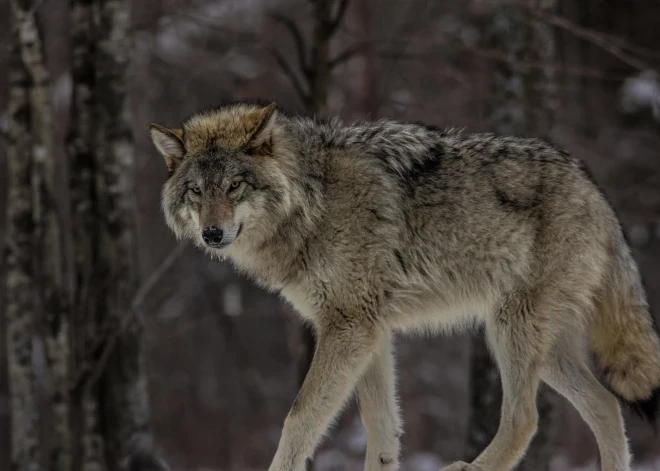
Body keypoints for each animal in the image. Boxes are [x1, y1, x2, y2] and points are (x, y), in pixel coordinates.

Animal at [148, 100, 660, 471]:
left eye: (235, 186)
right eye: (197, 191)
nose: (212, 234)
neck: (314, 202)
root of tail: (595, 190)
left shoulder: (349, 328)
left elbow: (299, 417)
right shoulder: (370, 331)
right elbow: (381, 429)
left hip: (510, 331)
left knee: (524, 419)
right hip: (546, 350)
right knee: (606, 406)